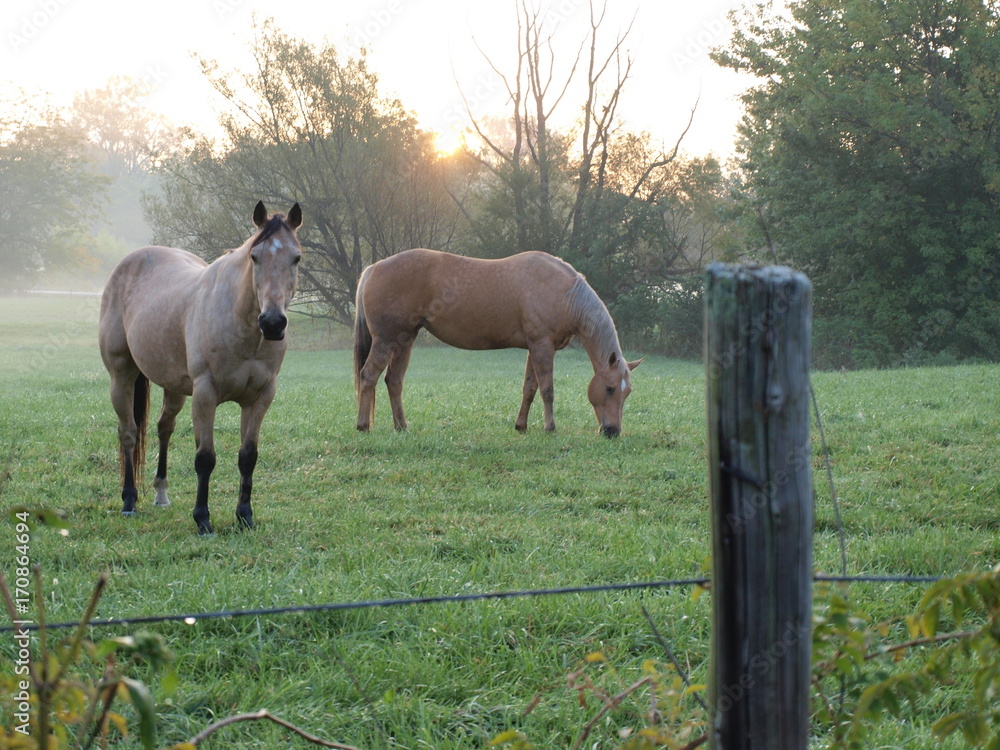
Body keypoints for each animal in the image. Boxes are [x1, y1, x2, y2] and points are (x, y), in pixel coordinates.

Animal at [99, 201, 303, 534]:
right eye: (254, 257)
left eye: (296, 258)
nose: (273, 323)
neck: (242, 326)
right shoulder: (206, 394)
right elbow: (205, 458)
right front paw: (203, 519)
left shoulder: (260, 397)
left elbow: (248, 456)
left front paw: (245, 516)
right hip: (121, 375)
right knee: (128, 433)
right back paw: (129, 501)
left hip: (175, 387)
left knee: (163, 428)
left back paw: (161, 493)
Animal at [353, 248, 641, 437]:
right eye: (610, 388)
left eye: (627, 392)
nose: (612, 431)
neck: (564, 294)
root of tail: (373, 268)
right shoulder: (543, 346)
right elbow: (547, 389)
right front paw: (550, 427)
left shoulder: (534, 348)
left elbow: (529, 388)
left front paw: (521, 426)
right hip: (386, 340)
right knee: (368, 376)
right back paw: (363, 426)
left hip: (404, 340)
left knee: (394, 382)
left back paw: (401, 427)